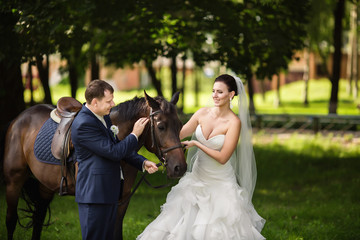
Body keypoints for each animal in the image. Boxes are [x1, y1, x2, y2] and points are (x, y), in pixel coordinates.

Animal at [2, 91, 187, 239]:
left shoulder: (120, 203)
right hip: (13, 181)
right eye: (161, 126)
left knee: (38, 218)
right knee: (11, 220)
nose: (180, 167)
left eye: (180, 125)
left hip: (45, 186)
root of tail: (19, 119)